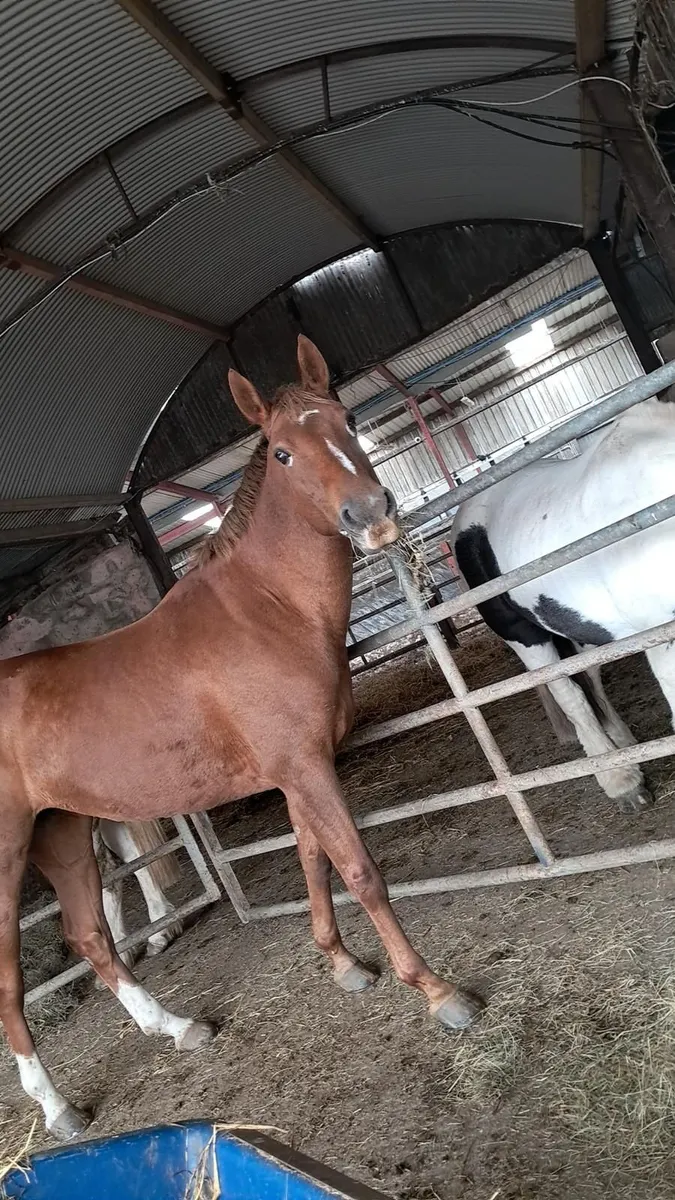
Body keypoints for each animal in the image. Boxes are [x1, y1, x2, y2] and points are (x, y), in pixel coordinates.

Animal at [0, 336, 482, 1141]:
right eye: (283, 453)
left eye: (349, 420)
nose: (371, 514)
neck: (268, 611)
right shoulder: (306, 767)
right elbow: (359, 869)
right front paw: (437, 992)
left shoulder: (298, 768)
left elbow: (314, 858)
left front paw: (345, 965)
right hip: (8, 860)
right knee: (10, 984)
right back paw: (60, 1107)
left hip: (63, 833)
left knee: (92, 937)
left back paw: (176, 1028)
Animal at [451, 395, 675, 812]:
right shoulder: (661, 637)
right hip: (525, 635)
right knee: (569, 694)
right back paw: (619, 778)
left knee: (589, 677)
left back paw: (622, 744)